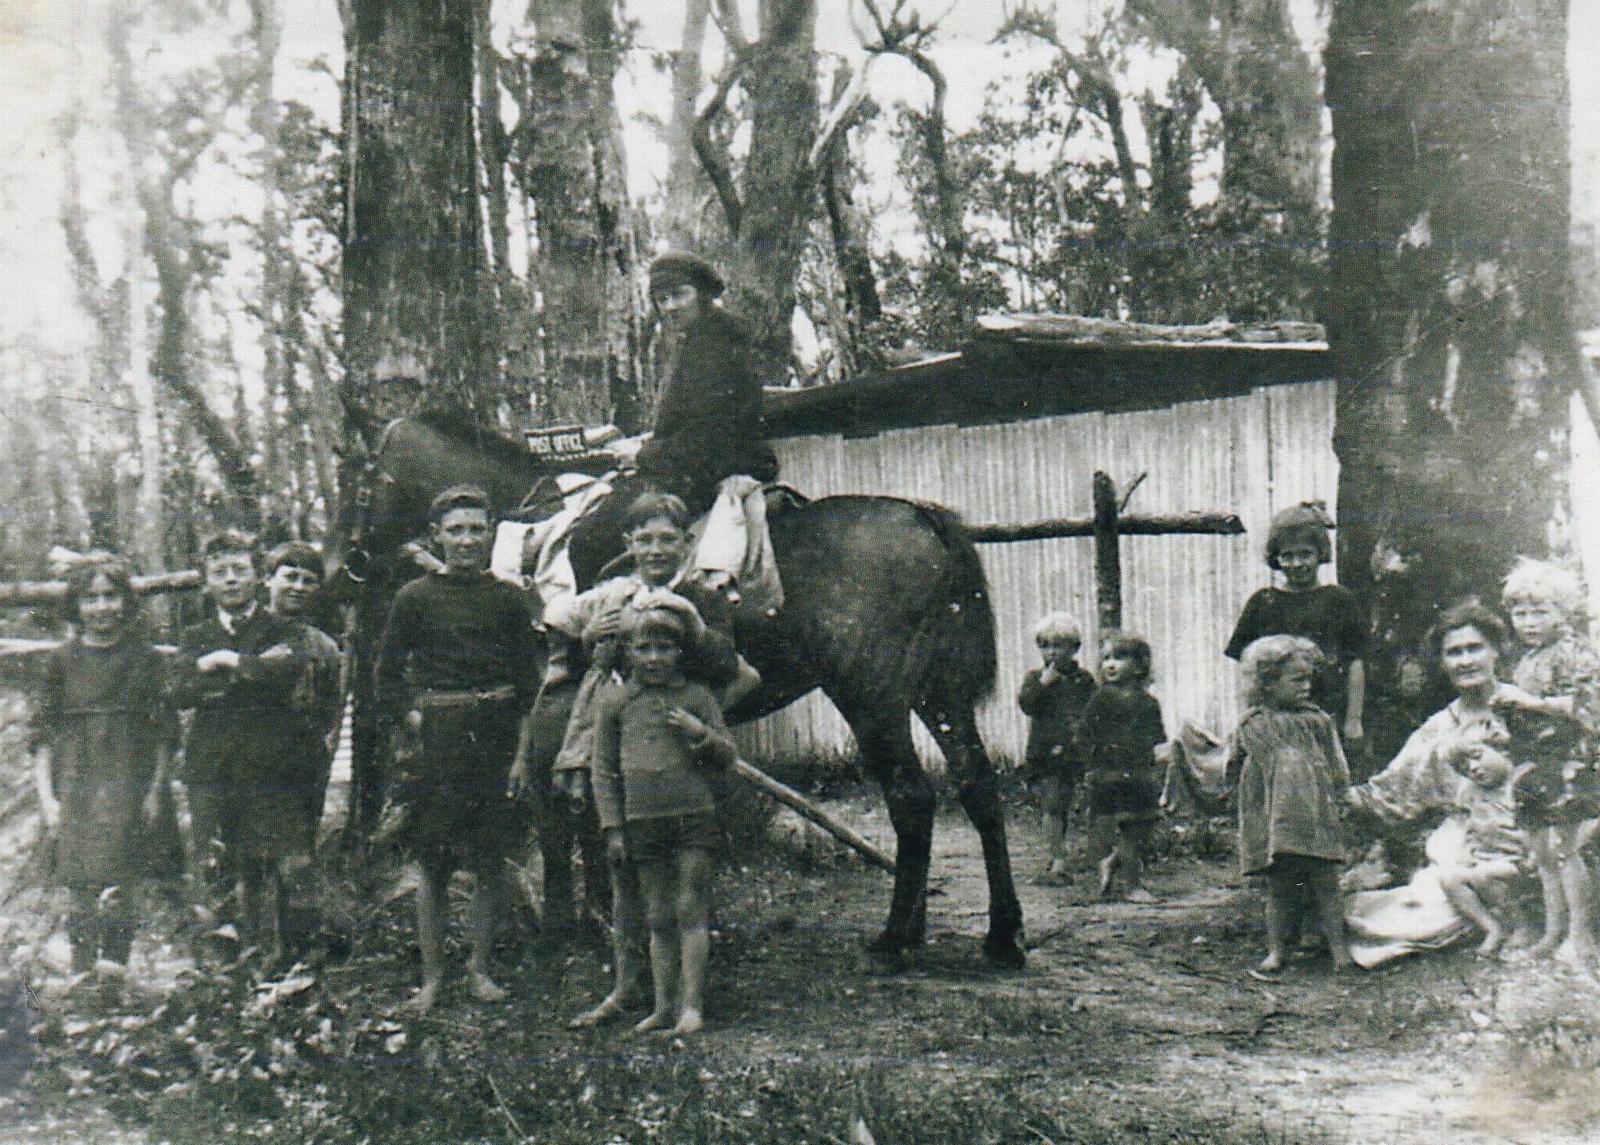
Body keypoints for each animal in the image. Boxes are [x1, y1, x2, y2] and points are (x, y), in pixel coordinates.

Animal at [337, 412, 1024, 965]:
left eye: (368, 479)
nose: (353, 561)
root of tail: (922, 519)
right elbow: (592, 815)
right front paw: (602, 914)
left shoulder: (547, 720)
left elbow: (561, 825)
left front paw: (567, 924)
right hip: (938, 697)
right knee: (978, 787)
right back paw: (1001, 936)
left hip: (872, 698)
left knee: (912, 797)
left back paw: (897, 937)